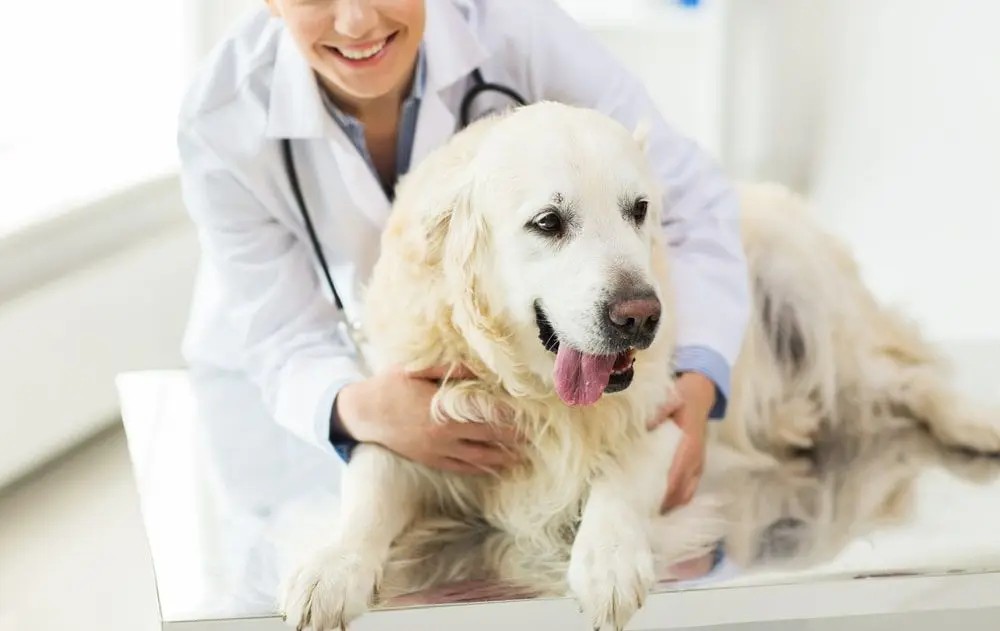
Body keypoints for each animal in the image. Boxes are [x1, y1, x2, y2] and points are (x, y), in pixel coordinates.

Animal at [280, 102, 1000, 631]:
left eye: (639, 209)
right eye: (548, 221)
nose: (640, 317)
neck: (539, 398)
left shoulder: (673, 416)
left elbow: (620, 477)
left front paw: (606, 559)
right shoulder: (413, 416)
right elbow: (370, 484)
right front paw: (330, 566)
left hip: (808, 298)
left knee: (909, 378)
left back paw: (976, 424)